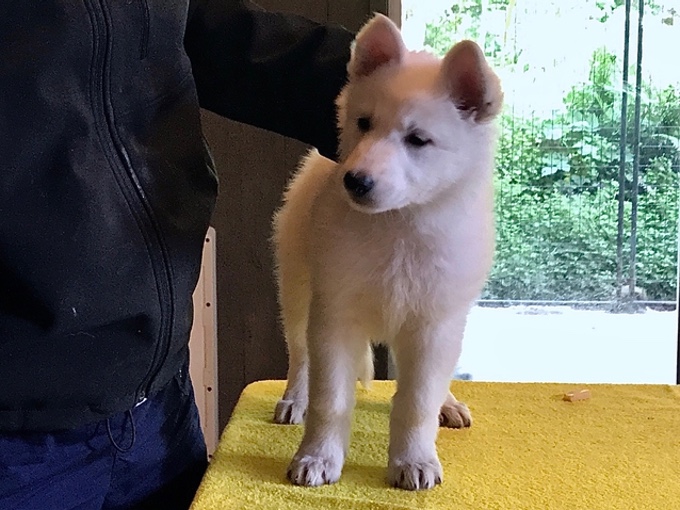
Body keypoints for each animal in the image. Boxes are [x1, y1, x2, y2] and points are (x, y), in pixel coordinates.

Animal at [274, 12, 502, 490]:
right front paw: (317, 457)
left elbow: (417, 401)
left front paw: (414, 460)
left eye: (417, 140)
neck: (399, 226)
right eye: (364, 123)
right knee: (300, 355)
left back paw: (448, 402)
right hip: (297, 287)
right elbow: (330, 399)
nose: (354, 181)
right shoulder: (334, 315)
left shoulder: (433, 323)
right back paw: (294, 399)